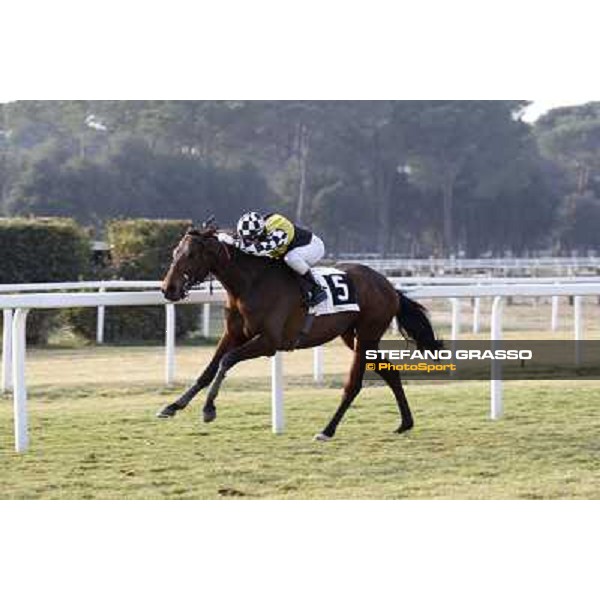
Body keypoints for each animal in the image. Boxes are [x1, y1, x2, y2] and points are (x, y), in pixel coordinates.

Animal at [157, 225, 442, 440]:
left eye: (190, 255)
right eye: (174, 252)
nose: (168, 289)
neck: (251, 284)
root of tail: (389, 285)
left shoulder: (269, 342)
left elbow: (226, 361)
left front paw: (209, 409)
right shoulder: (234, 335)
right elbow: (208, 370)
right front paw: (172, 406)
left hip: (367, 334)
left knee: (354, 385)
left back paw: (327, 430)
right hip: (354, 336)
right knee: (390, 372)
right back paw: (405, 423)